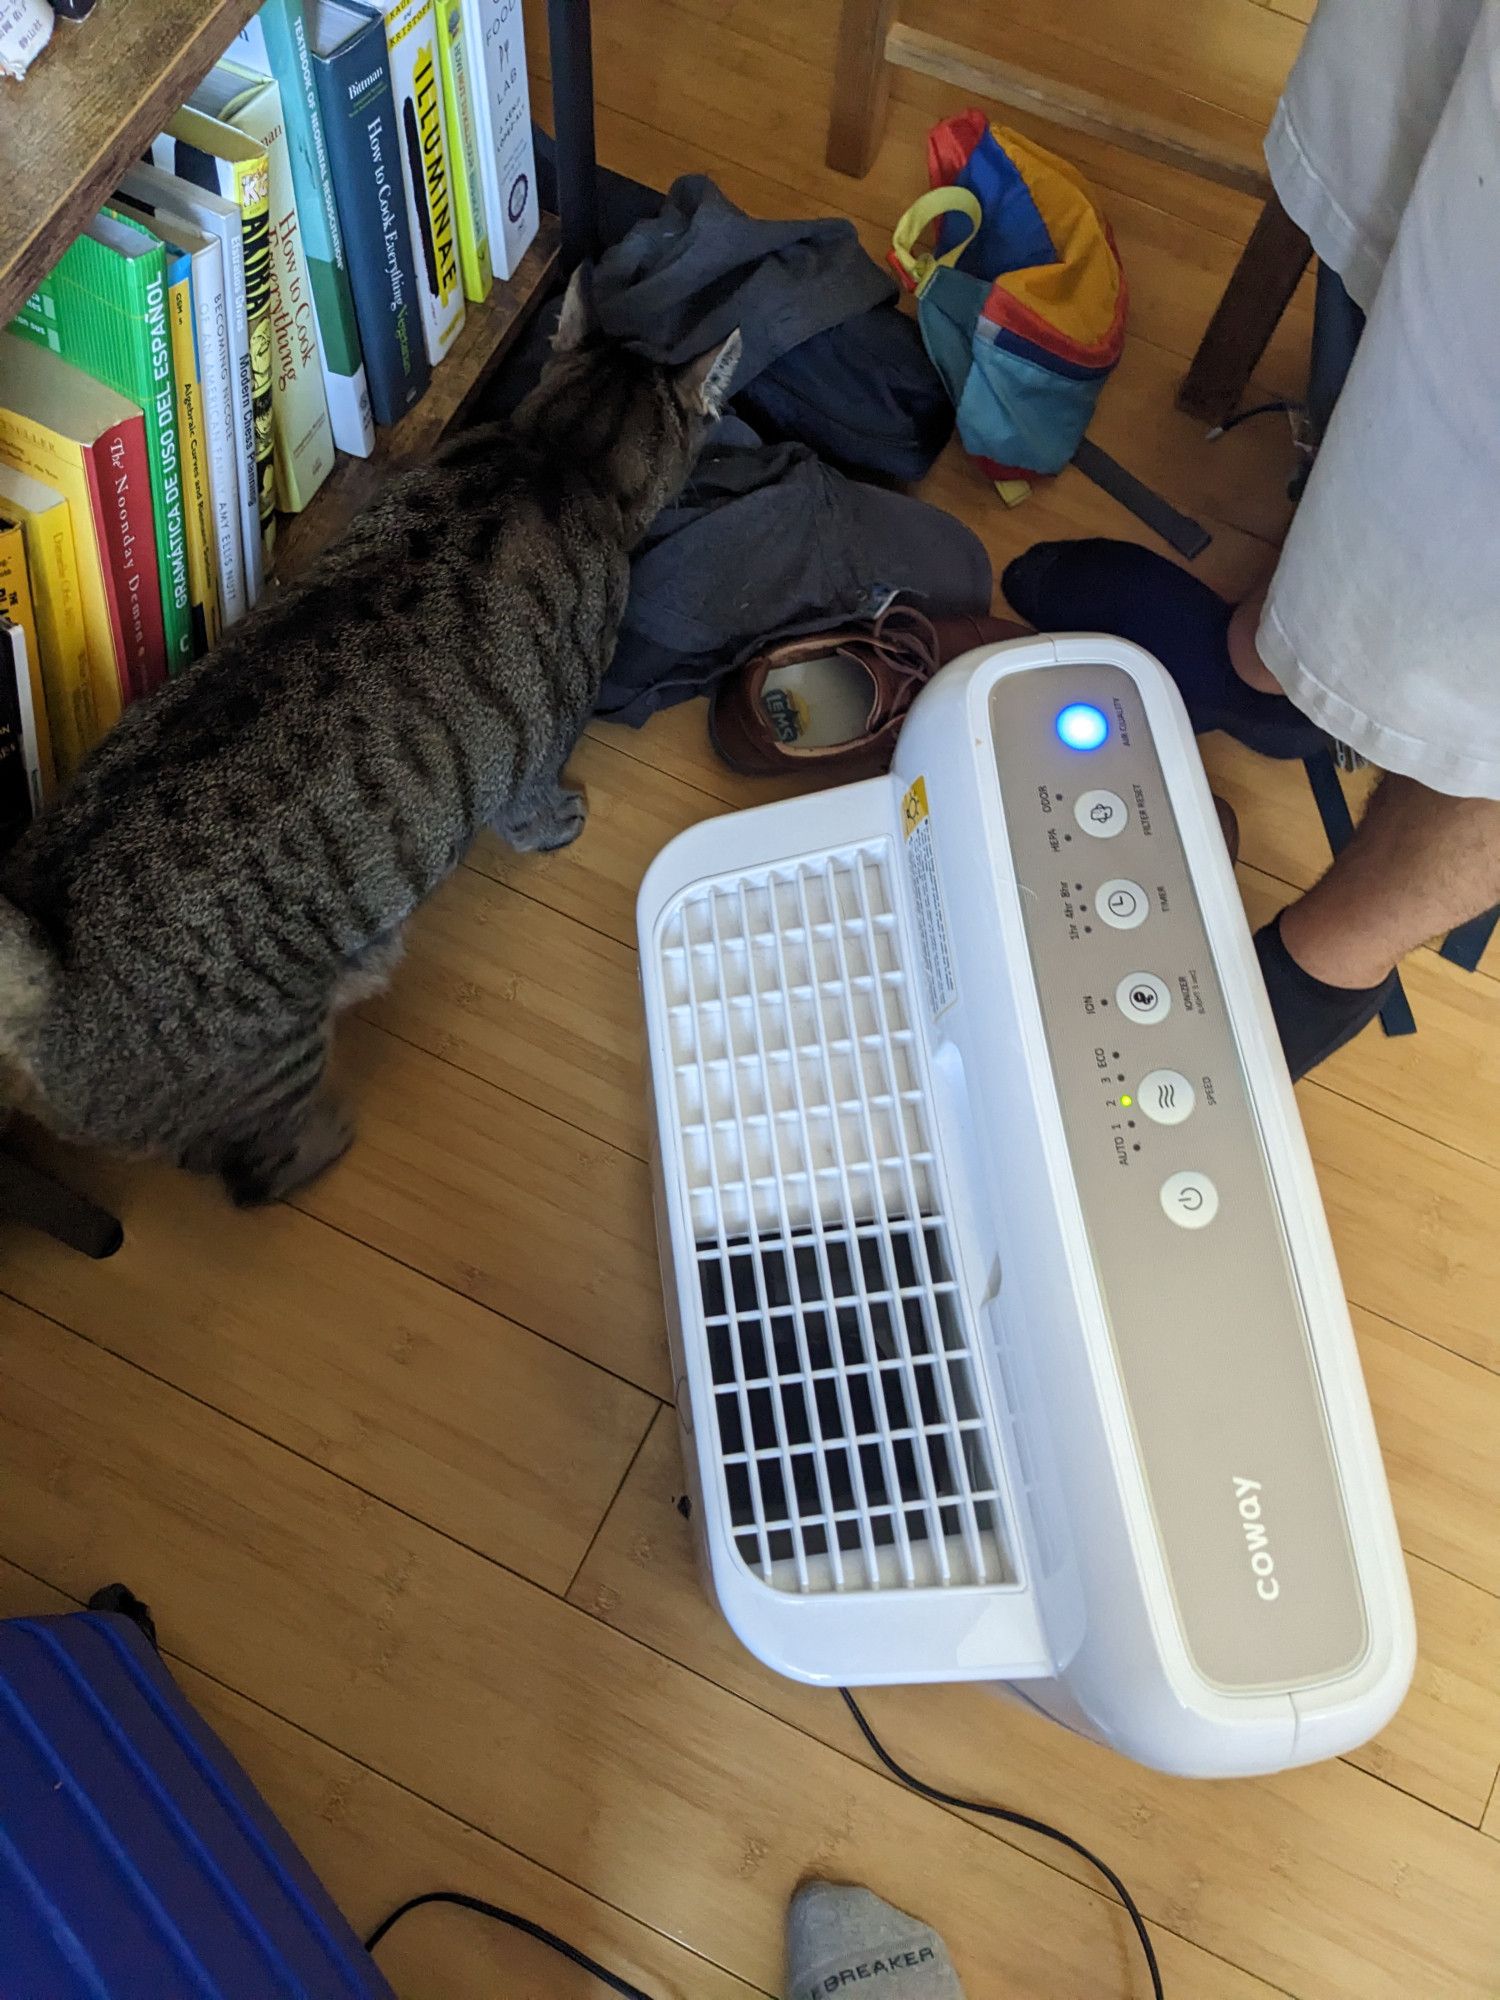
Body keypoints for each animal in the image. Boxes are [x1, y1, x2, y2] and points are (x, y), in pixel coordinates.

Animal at [0, 278, 748, 1200]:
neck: (555, 451)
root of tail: (45, 948)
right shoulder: (547, 737)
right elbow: (534, 807)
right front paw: (561, 825)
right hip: (274, 1057)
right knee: (252, 1171)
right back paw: (328, 1135)